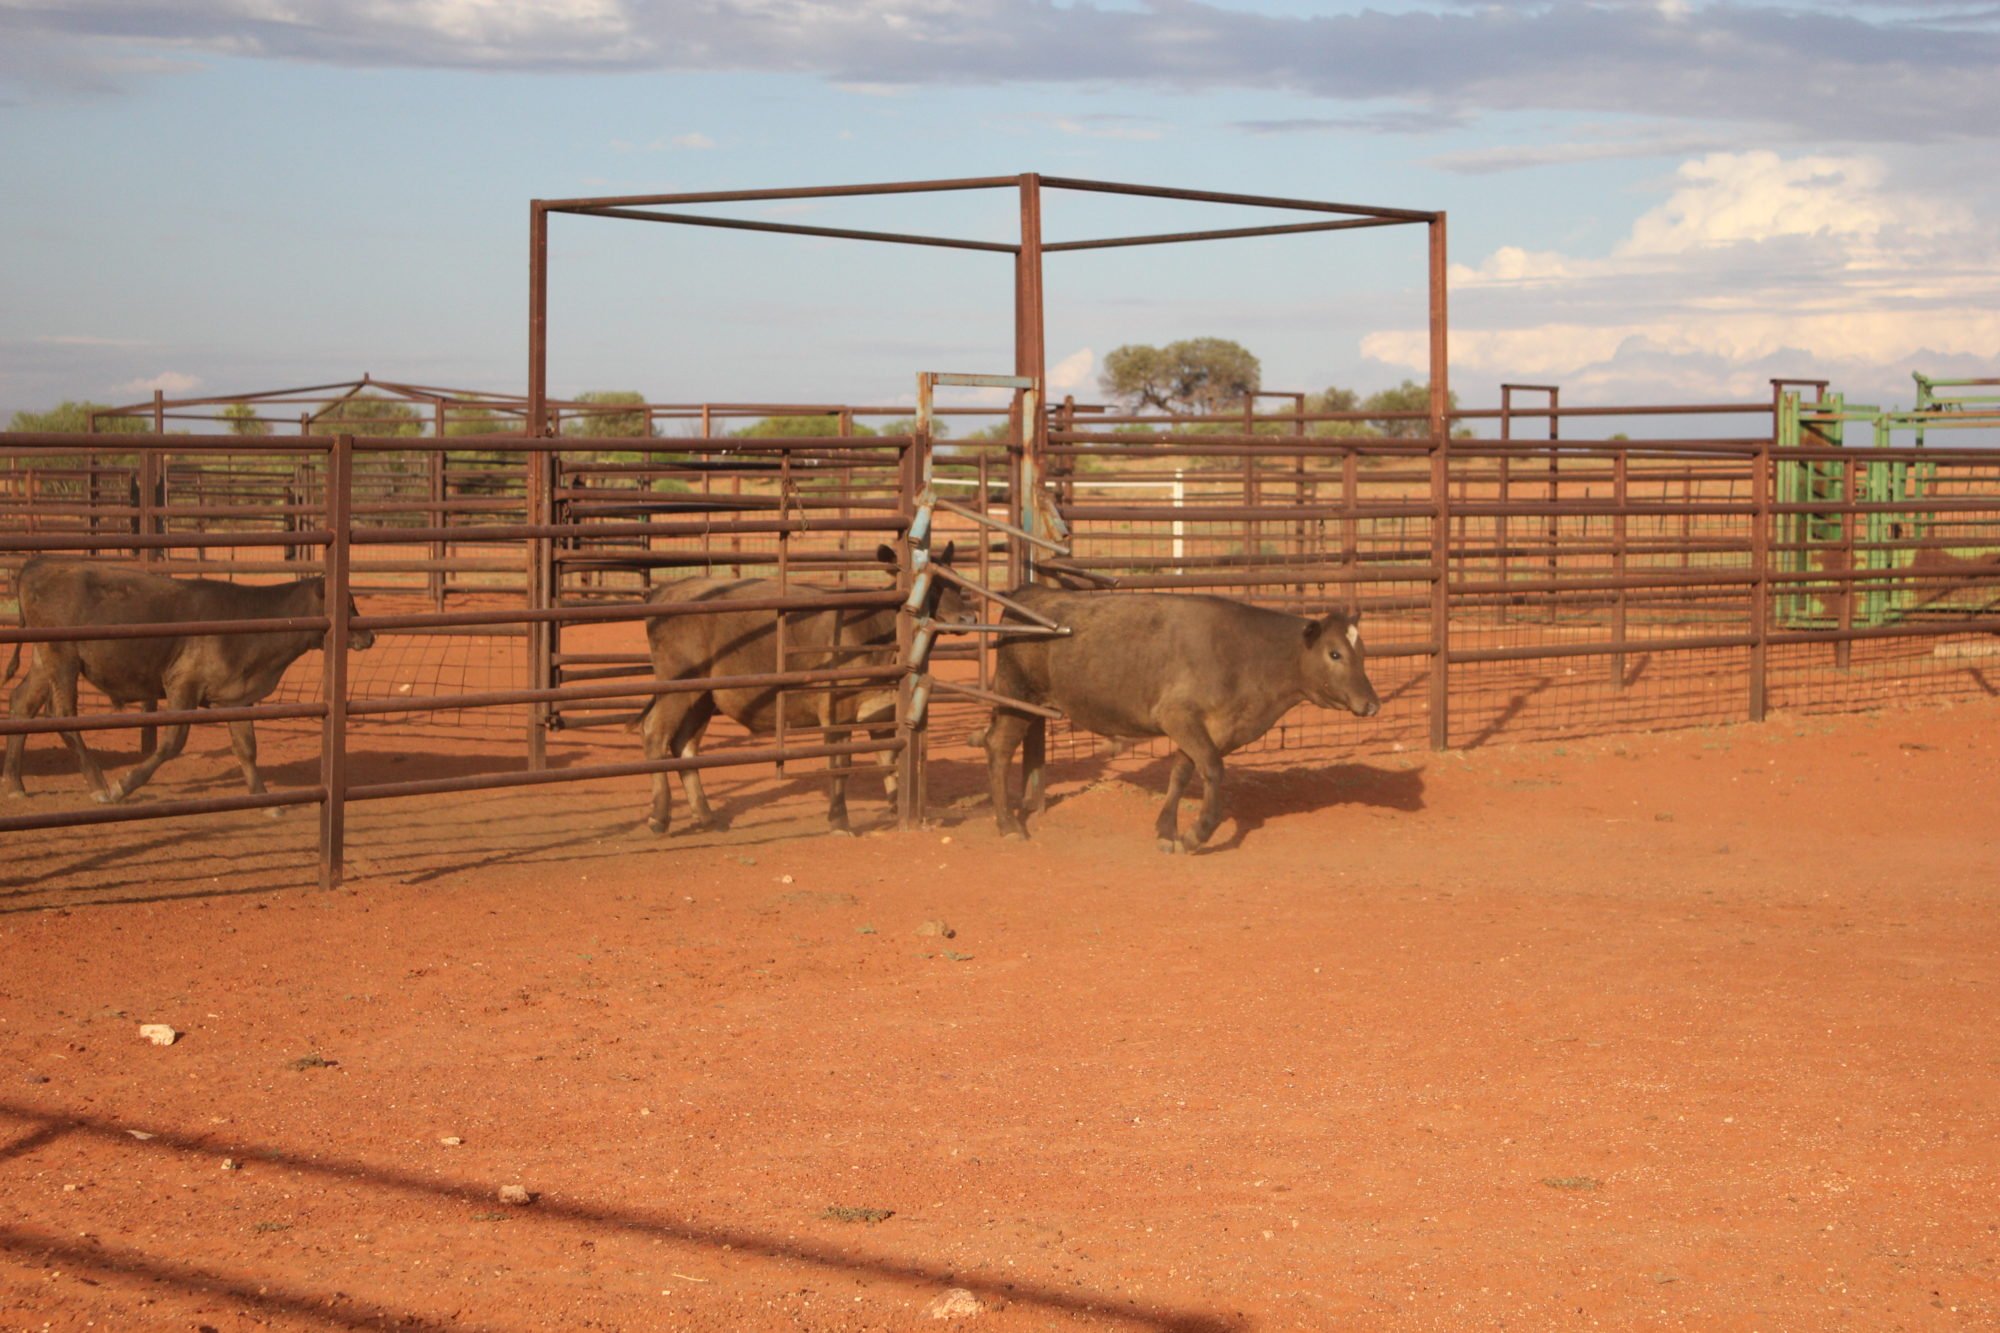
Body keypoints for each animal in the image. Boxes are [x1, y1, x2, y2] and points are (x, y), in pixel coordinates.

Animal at [2, 559, 374, 806]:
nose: (368, 636)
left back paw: (14, 783)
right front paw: (126, 784)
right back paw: (99, 785)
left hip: (44, 661)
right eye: (347, 604)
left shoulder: (236, 698)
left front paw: (264, 799)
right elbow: (172, 743)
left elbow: (247, 748)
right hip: (62, 658)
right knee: (62, 715)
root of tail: (38, 565)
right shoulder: (182, 685)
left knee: (23, 704)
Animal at [636, 544, 966, 837]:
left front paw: (898, 810)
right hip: (677, 687)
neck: (877, 629)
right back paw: (658, 817)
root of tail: (670, 589)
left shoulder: (882, 712)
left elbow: (889, 761)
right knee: (656, 733)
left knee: (685, 746)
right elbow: (840, 765)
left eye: (956, 580)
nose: (968, 617)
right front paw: (839, 820)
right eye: (929, 584)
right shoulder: (836, 713)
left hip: (703, 697)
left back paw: (706, 817)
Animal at [981, 588, 1380, 852]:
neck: (1248, 653)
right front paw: (1196, 833)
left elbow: (1182, 772)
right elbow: (1212, 769)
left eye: (1361, 652)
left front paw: (1166, 830)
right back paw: (1008, 824)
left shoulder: (1207, 729)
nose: (1372, 704)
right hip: (1017, 697)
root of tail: (1029, 593)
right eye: (1334, 653)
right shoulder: (1178, 716)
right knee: (999, 750)